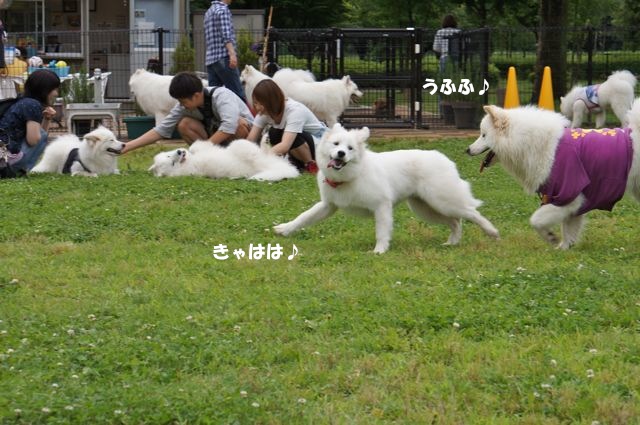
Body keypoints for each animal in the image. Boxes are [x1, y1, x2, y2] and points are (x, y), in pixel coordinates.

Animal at [149, 138, 300, 180]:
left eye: (169, 156)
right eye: (172, 163)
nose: (180, 152)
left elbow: (195, 146)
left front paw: (191, 148)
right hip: (241, 146)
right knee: (256, 152)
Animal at [272, 122, 498, 252]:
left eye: (350, 148)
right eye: (336, 144)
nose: (341, 154)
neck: (353, 174)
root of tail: (445, 159)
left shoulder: (381, 206)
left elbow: (381, 231)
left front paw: (379, 251)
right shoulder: (328, 205)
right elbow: (303, 217)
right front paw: (284, 229)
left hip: (443, 201)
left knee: (471, 213)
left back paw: (492, 232)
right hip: (426, 208)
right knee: (455, 222)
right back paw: (452, 243)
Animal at [464, 103, 640, 248]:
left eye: (483, 135)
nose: (467, 150)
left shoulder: (568, 195)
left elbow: (536, 220)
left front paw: (550, 237)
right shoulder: (572, 201)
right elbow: (568, 230)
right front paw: (564, 249)